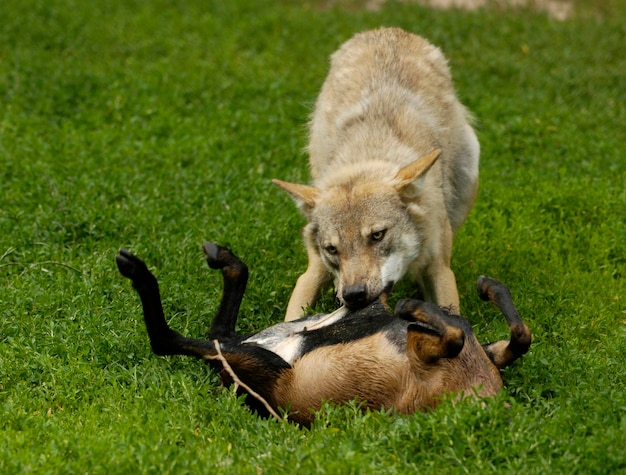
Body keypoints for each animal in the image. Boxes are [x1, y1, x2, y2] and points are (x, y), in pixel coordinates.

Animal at [272, 27, 478, 322]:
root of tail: (388, 30)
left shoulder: (440, 269)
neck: (368, 153)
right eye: (332, 249)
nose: (354, 295)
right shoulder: (313, 270)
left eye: (377, 235)